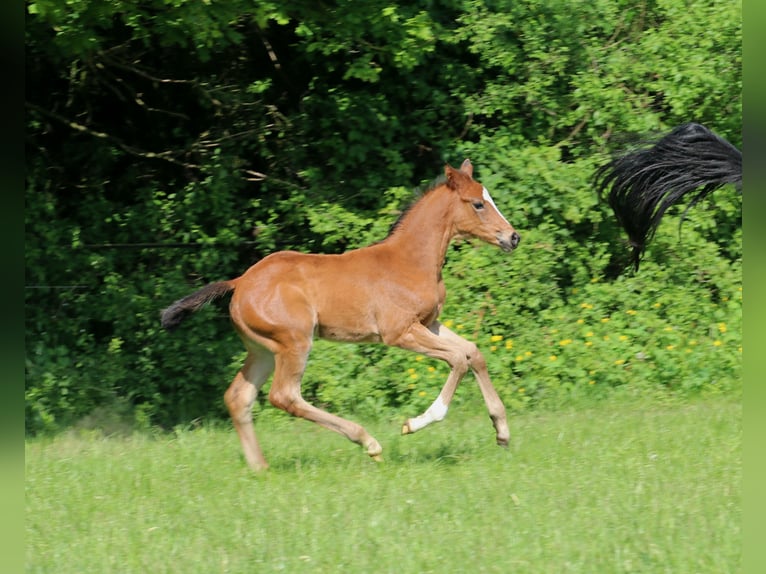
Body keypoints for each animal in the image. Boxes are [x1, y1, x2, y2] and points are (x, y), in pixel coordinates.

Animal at [161, 159, 520, 472]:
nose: (513, 237)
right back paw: (368, 442)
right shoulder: (399, 332)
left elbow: (473, 352)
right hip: (293, 341)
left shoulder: (428, 323)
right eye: (478, 204)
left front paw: (502, 432)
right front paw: (414, 423)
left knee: (239, 397)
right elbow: (458, 359)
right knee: (284, 395)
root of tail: (239, 283)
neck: (411, 260)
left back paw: (261, 468)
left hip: (261, 349)